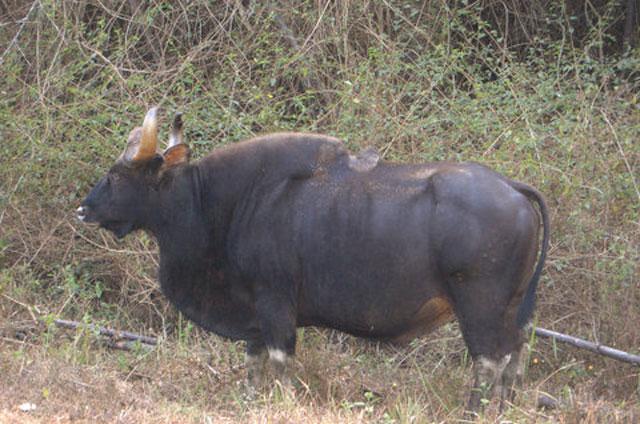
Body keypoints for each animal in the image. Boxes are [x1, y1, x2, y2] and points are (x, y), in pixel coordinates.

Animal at [78, 108, 549, 413]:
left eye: (116, 176)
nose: (84, 209)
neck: (224, 202)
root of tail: (512, 187)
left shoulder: (274, 302)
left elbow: (280, 361)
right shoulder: (254, 309)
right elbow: (254, 361)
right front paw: (251, 401)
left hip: (479, 306)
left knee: (489, 360)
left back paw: (475, 411)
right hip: (511, 309)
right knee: (517, 352)